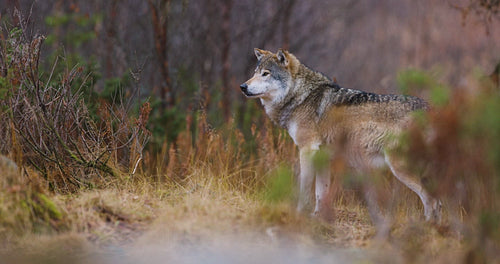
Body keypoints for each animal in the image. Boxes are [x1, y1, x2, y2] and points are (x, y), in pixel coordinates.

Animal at [240, 48, 440, 226]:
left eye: (266, 74)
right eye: (255, 73)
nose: (243, 86)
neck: (301, 96)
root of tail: (431, 110)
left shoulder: (307, 150)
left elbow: (305, 189)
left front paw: (300, 214)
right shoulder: (323, 157)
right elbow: (321, 193)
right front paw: (318, 218)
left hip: (400, 168)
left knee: (431, 200)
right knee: (437, 200)